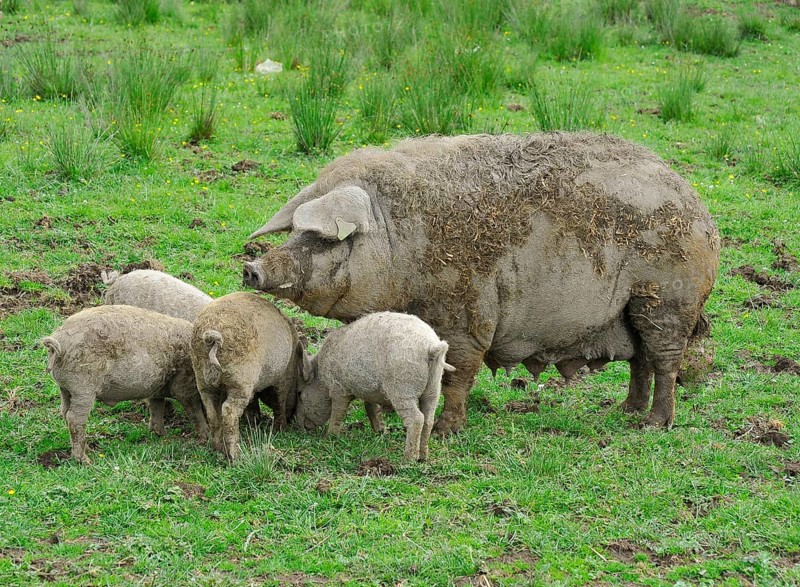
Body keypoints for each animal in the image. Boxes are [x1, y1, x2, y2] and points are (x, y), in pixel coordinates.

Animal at [41, 305, 209, 464]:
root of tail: (58, 342)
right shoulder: (184, 384)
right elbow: (194, 411)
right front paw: (205, 437)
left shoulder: (156, 388)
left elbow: (157, 407)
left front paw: (161, 435)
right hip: (83, 387)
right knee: (74, 418)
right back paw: (85, 460)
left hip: (65, 388)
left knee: (64, 411)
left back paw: (89, 449)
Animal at [190, 292, 303, 461]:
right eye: (298, 391)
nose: (292, 419)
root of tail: (212, 336)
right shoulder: (282, 378)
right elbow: (279, 402)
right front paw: (281, 429)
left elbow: (253, 401)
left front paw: (254, 421)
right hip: (240, 379)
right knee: (229, 411)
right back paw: (235, 456)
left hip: (202, 379)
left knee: (212, 412)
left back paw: (217, 449)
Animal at [243, 132, 720, 435]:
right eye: (295, 231)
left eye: (324, 238)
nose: (252, 268)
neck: (399, 244)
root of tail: (699, 208)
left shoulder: (468, 315)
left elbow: (460, 374)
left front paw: (446, 431)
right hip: (635, 309)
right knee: (641, 361)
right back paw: (626, 411)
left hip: (665, 300)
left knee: (665, 362)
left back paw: (653, 424)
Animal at [294, 312, 455, 461]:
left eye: (299, 393)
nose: (299, 426)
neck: (322, 376)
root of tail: (431, 347)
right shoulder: (369, 391)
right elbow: (371, 407)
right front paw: (380, 431)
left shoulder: (339, 389)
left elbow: (337, 413)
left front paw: (329, 437)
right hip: (434, 388)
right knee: (428, 419)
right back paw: (422, 457)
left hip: (402, 388)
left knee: (416, 419)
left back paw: (408, 459)